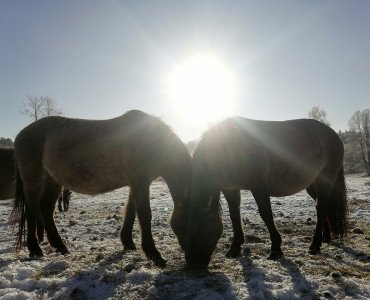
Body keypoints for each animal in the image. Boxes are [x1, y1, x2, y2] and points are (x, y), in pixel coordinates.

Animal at [11, 110, 191, 268]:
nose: (195, 263)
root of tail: (20, 135)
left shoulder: (137, 183)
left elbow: (131, 211)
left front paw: (128, 242)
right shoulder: (140, 181)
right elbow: (145, 215)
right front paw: (154, 254)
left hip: (53, 182)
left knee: (46, 210)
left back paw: (60, 246)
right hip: (34, 180)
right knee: (32, 211)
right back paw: (35, 249)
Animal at [175, 116, 348, 268]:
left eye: (198, 226)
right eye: (177, 229)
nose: (193, 264)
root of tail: (333, 136)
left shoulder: (259, 186)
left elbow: (266, 214)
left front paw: (276, 249)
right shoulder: (230, 188)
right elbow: (234, 214)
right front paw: (235, 247)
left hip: (323, 179)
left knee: (321, 208)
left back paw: (315, 245)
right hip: (312, 184)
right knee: (324, 207)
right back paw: (325, 238)